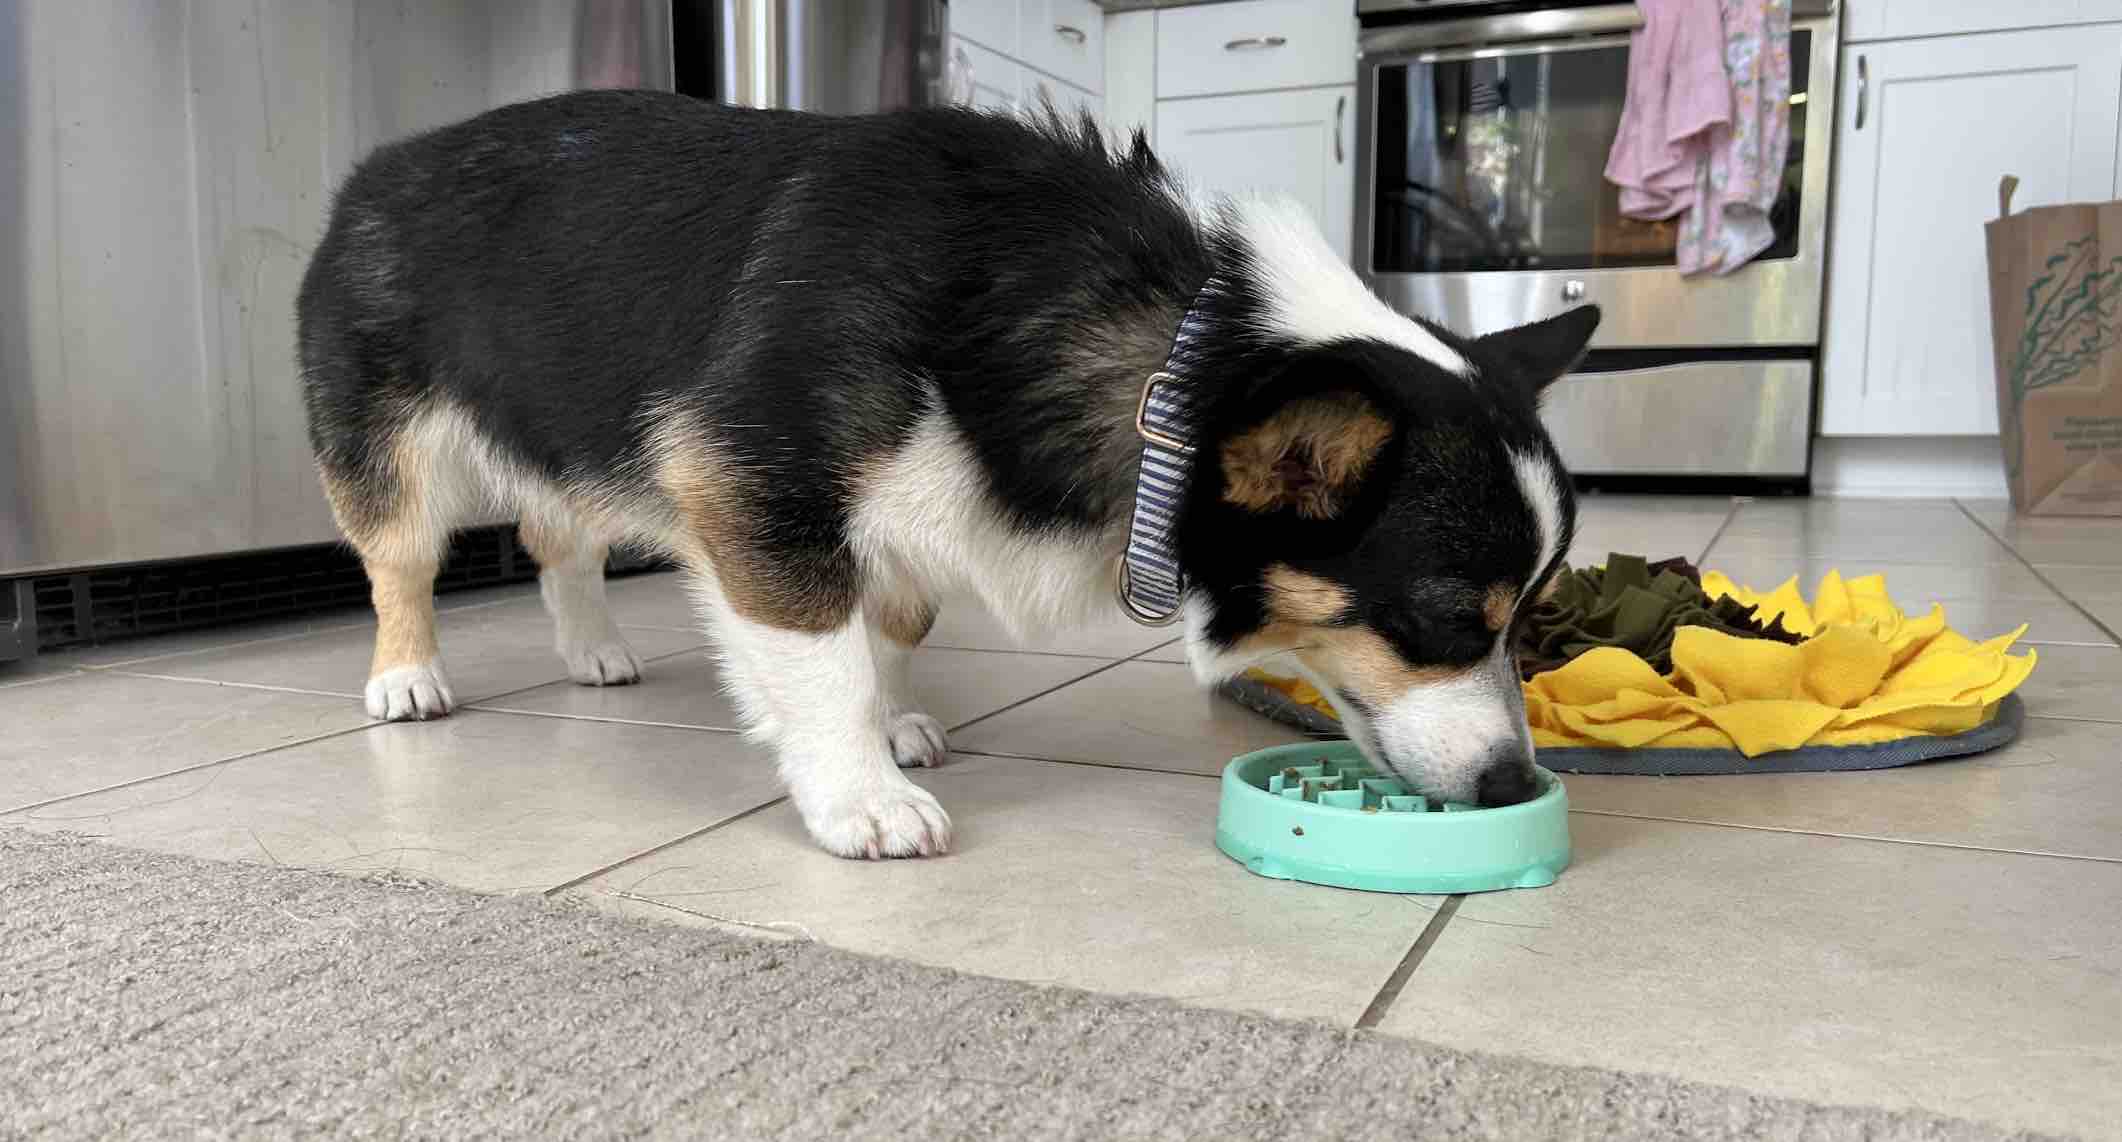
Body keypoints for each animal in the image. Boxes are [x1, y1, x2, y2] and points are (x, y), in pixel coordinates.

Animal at [299, 91, 1595, 853]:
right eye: (1443, 618)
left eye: (1529, 622)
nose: (1507, 786)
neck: (1174, 366)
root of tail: (371, 168)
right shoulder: (753, 479)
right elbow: (819, 656)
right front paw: (861, 790)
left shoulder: (907, 519)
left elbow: (895, 621)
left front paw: (896, 719)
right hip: (394, 448)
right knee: (401, 561)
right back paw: (407, 677)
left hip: (566, 435)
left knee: (557, 538)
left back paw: (591, 650)